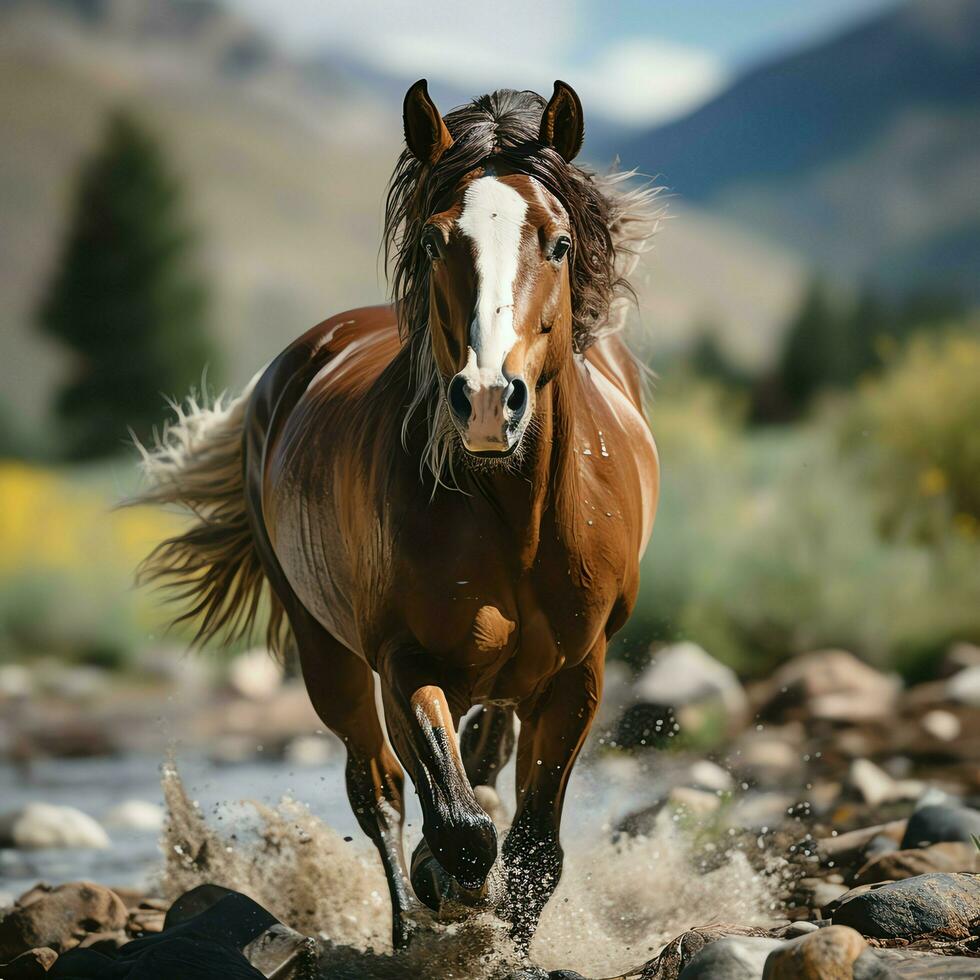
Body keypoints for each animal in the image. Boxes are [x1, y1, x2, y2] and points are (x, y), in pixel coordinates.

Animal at [136, 80, 660, 952]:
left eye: (556, 243)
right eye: (434, 242)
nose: (486, 401)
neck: (515, 515)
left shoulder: (581, 672)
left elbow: (533, 850)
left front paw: (508, 945)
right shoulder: (403, 661)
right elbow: (458, 827)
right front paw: (446, 895)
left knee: (478, 763)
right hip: (327, 655)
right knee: (378, 790)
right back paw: (409, 920)